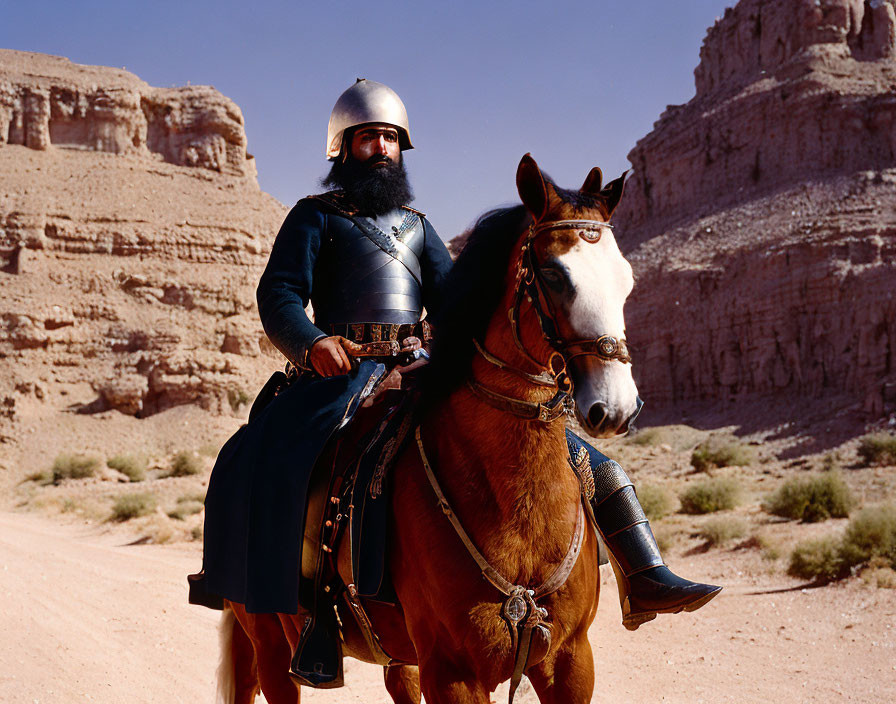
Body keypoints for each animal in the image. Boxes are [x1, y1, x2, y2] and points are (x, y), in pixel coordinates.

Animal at [217, 155, 636, 704]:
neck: (511, 499)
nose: (617, 406)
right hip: (268, 640)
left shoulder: (570, 662)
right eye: (552, 273)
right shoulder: (452, 670)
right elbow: (279, 290)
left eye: (626, 278)